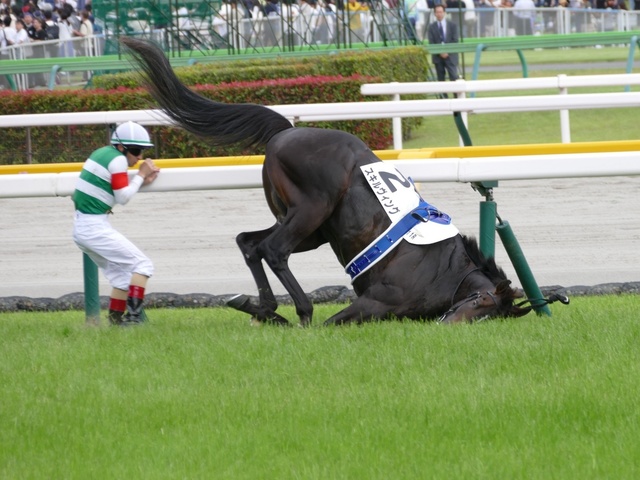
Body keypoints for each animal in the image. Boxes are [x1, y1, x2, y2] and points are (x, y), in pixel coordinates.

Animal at [122, 37, 552, 326]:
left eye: (490, 316)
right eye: (481, 304)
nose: (450, 324)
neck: (443, 268)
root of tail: (288, 130)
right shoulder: (375, 302)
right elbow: (338, 320)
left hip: (307, 223)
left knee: (250, 242)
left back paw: (263, 308)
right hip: (312, 209)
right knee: (273, 250)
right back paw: (300, 311)